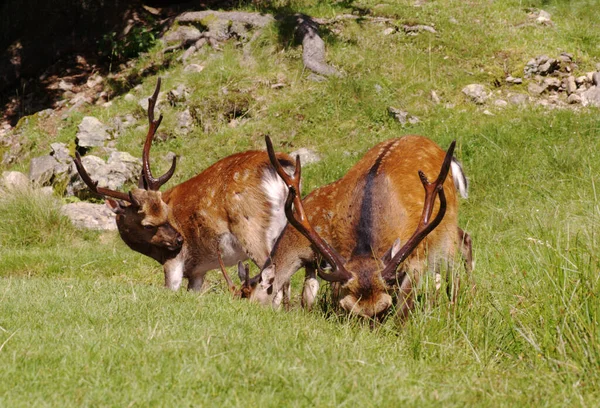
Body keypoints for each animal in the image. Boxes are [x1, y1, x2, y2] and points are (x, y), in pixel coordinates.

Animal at [72, 79, 296, 290]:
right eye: (148, 224)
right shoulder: (198, 271)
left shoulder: (174, 261)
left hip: (251, 228)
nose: (180, 240)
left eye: (165, 214)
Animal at [232, 135, 472, 320]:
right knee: (463, 240)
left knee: (454, 263)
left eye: (248, 297)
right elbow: (309, 295)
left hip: (445, 230)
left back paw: (458, 304)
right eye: (349, 310)